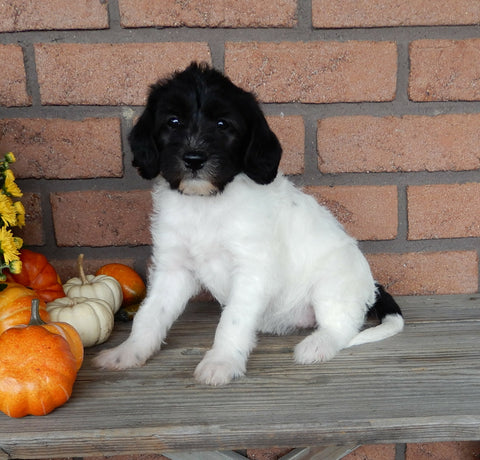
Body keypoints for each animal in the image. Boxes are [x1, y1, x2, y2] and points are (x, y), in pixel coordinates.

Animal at [93, 61, 402, 384]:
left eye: (222, 125)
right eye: (173, 122)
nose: (194, 158)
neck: (206, 204)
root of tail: (371, 286)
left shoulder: (252, 270)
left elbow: (232, 319)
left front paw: (221, 361)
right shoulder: (173, 268)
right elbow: (150, 313)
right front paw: (128, 352)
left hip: (332, 284)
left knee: (341, 327)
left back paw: (316, 346)